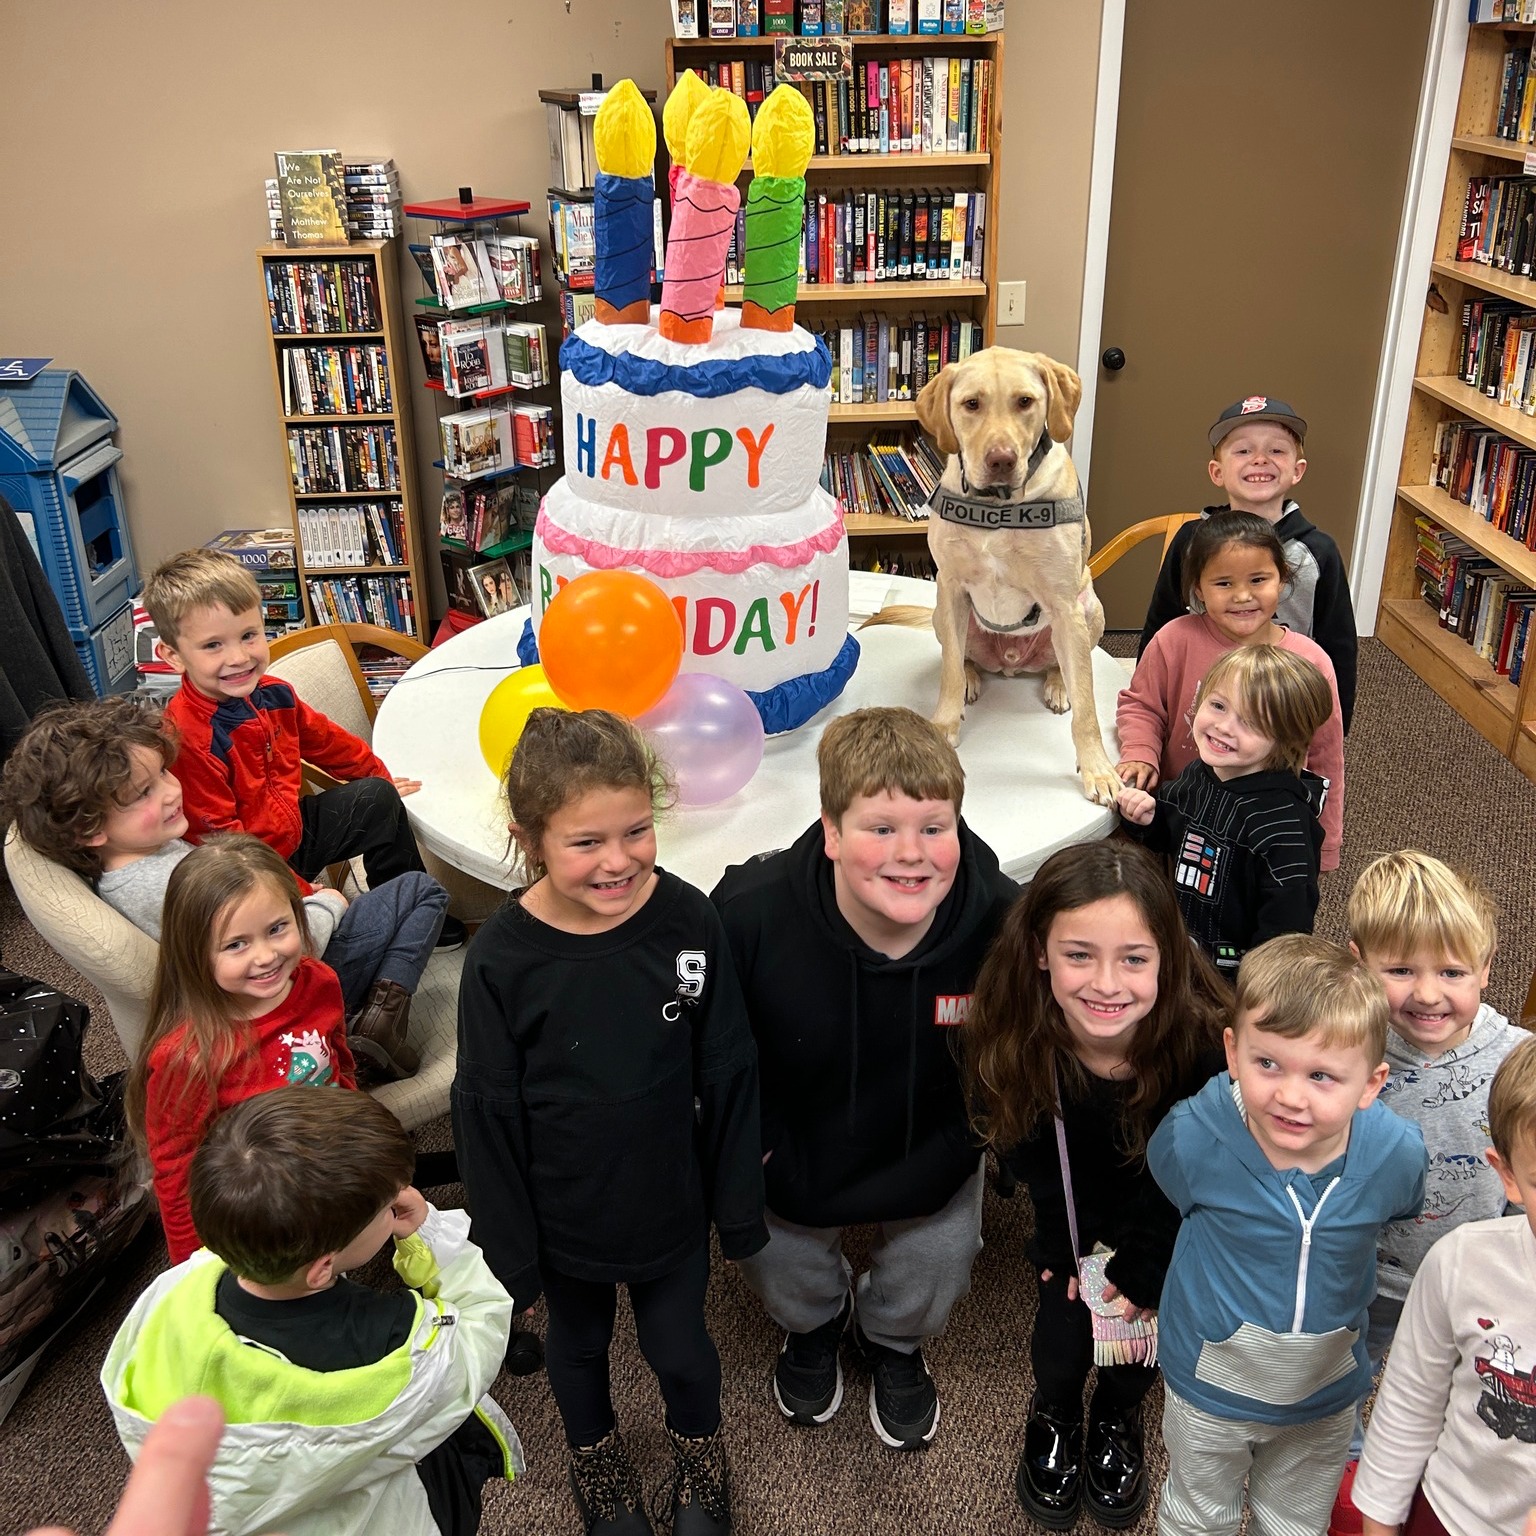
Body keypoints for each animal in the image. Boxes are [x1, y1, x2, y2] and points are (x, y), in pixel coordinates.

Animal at [909, 348, 1118, 804]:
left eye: (1025, 401)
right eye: (971, 404)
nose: (1001, 460)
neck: (998, 507)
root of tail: (1010, 663)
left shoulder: (1063, 604)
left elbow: (1088, 708)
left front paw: (1099, 769)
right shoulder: (950, 588)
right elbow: (949, 672)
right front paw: (944, 724)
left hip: (1089, 609)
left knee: (1068, 665)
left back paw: (1059, 684)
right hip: (938, 614)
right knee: (962, 657)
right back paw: (972, 676)